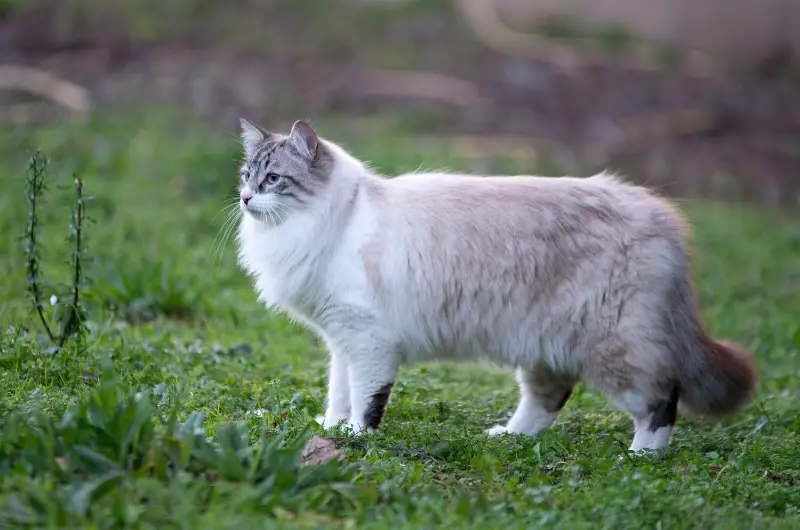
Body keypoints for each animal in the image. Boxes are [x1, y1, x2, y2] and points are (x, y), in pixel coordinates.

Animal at [236, 116, 756, 450]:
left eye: (273, 180)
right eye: (246, 176)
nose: (243, 198)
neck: (334, 221)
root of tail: (661, 216)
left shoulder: (367, 340)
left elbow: (365, 402)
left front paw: (356, 439)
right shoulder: (341, 339)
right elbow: (338, 396)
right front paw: (333, 429)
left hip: (614, 351)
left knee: (661, 400)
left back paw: (641, 457)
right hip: (544, 345)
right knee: (549, 399)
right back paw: (509, 439)